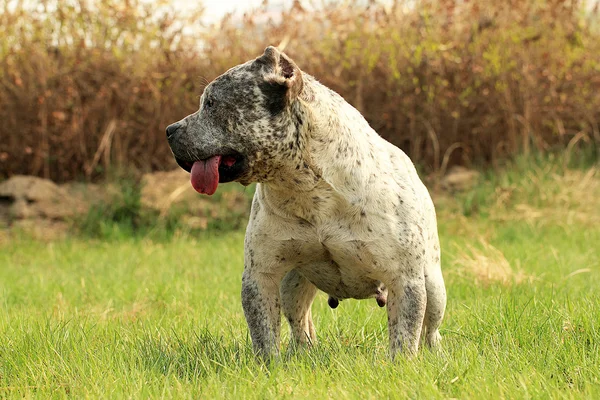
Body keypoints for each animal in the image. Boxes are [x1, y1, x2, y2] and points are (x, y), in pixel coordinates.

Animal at [164, 47, 446, 360]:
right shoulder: (260, 276)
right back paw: (303, 351)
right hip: (293, 283)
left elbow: (404, 336)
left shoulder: (405, 279)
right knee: (299, 320)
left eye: (211, 103)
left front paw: (401, 364)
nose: (169, 130)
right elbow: (264, 333)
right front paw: (270, 364)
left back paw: (435, 352)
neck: (308, 189)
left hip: (433, 284)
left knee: (430, 327)